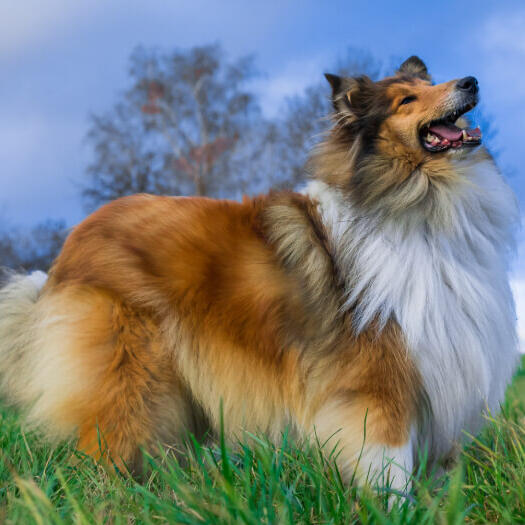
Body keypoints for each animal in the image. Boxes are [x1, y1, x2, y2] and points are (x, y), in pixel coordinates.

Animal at [0, 55, 516, 490]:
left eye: (431, 84)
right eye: (407, 100)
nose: (470, 81)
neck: (422, 203)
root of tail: (70, 246)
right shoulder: (379, 381)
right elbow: (390, 469)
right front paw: (396, 509)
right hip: (133, 375)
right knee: (107, 449)